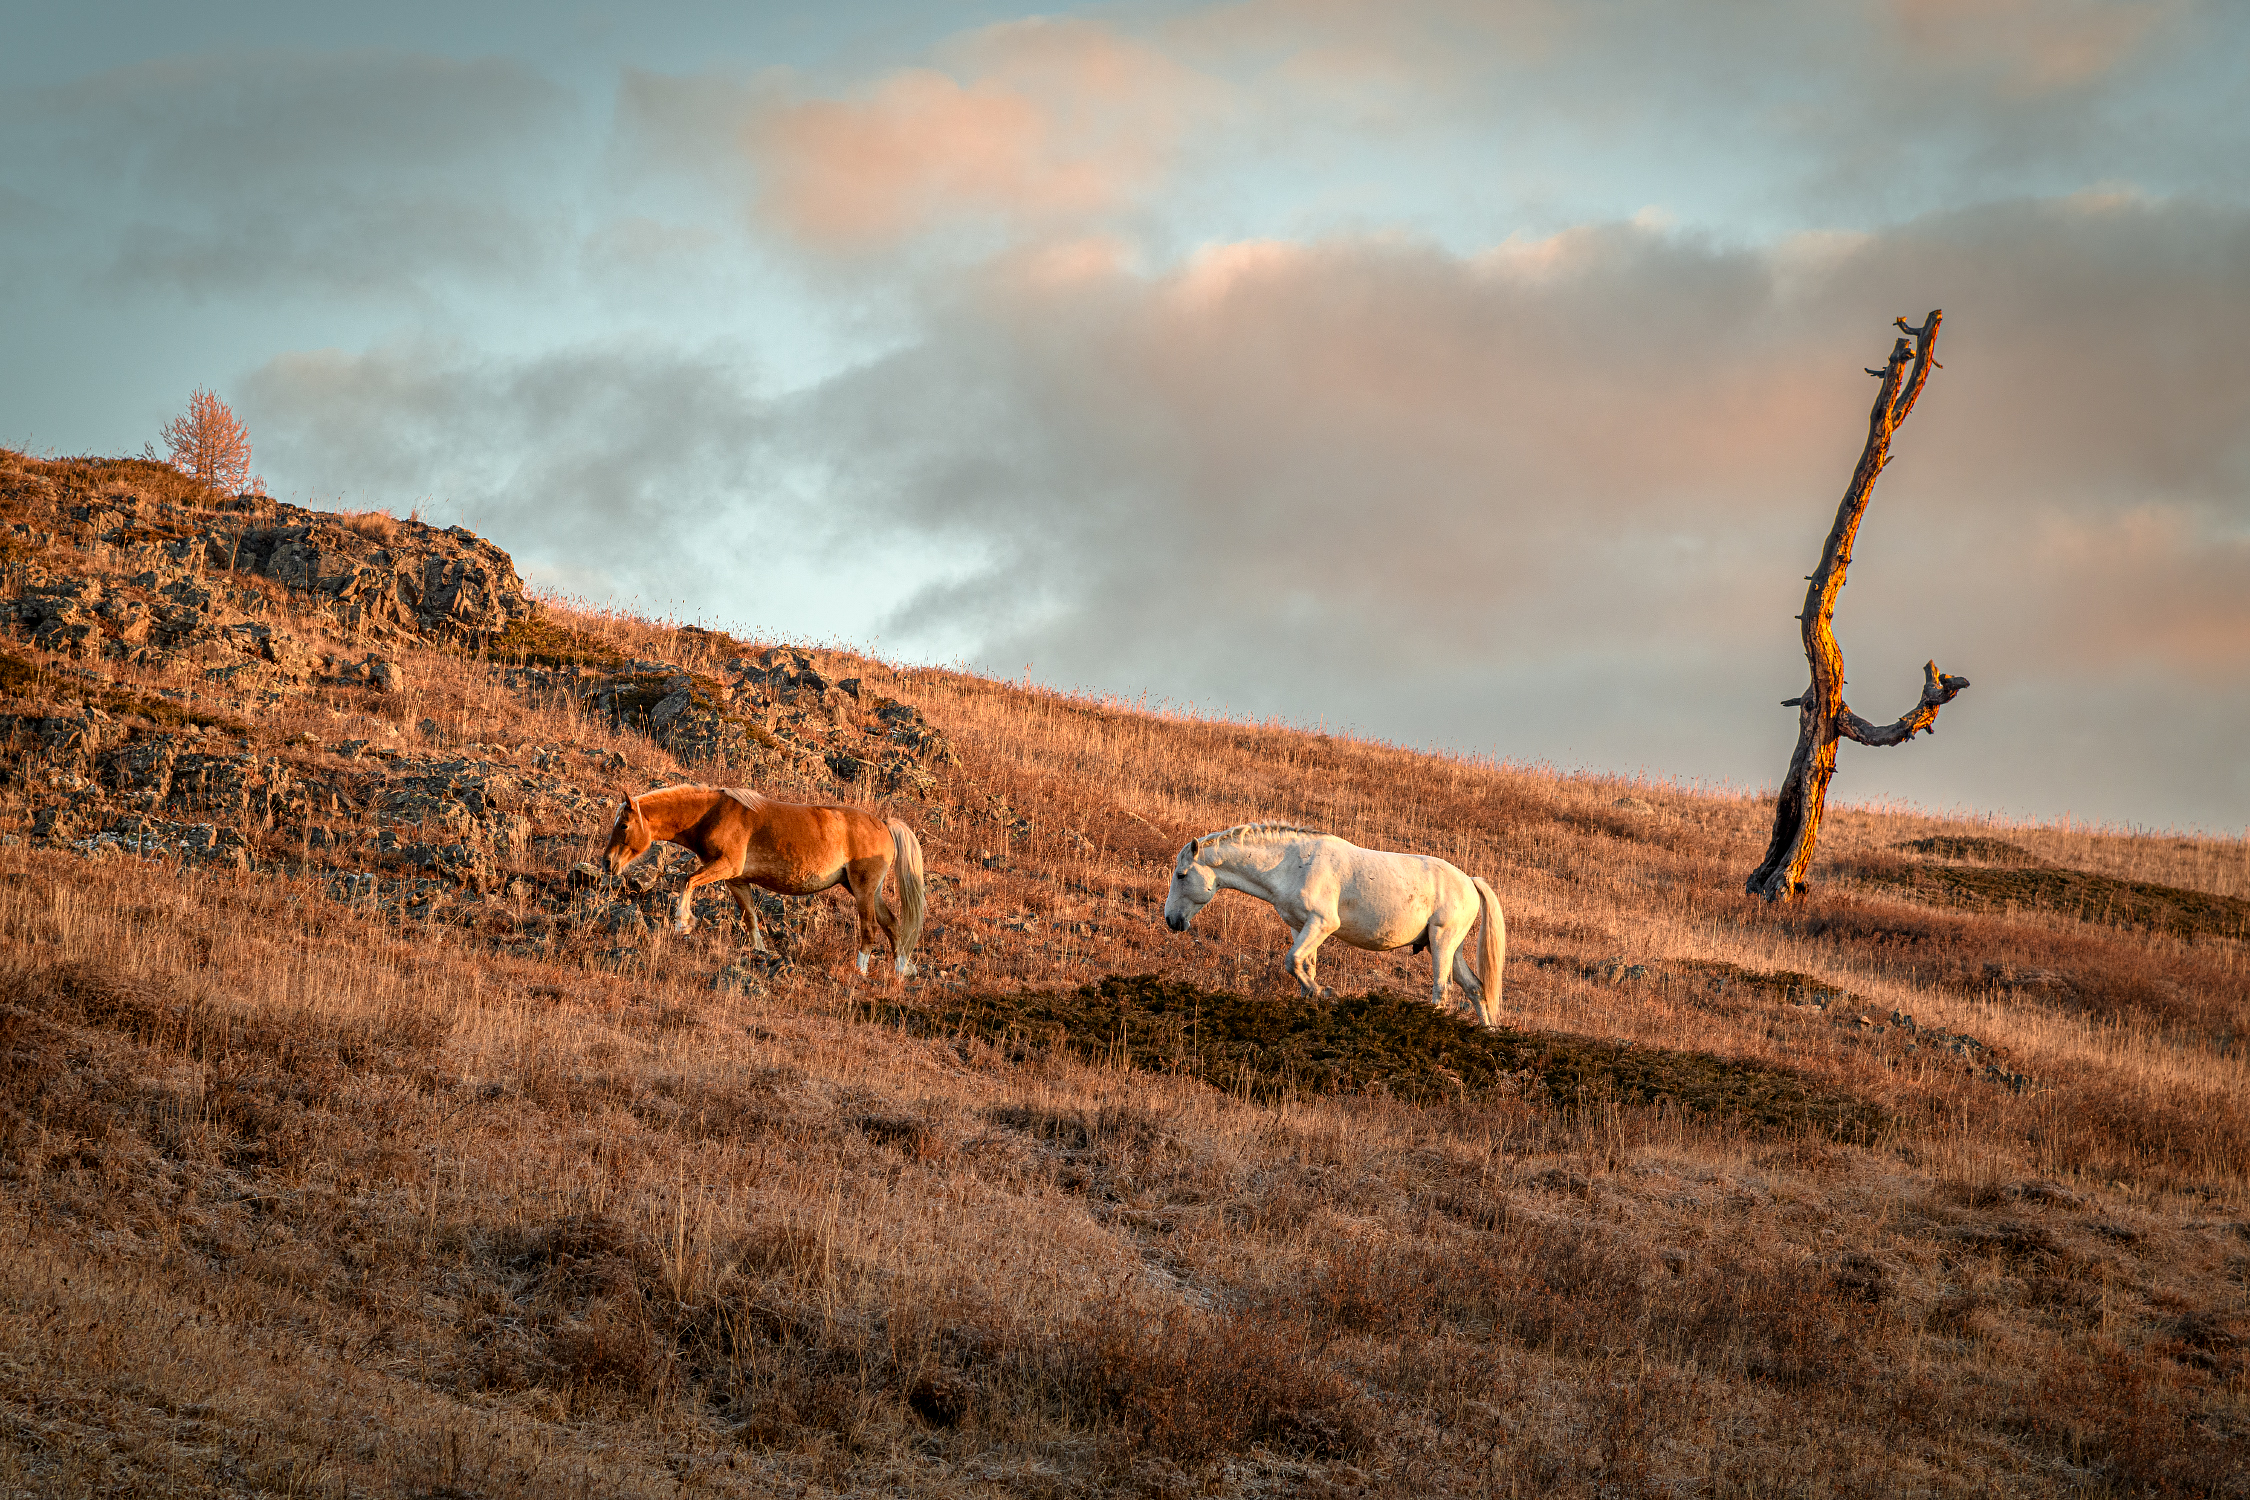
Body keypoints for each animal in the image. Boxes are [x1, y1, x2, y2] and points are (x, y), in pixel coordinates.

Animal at [603, 791, 927, 980]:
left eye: (624, 825)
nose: (607, 863)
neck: (713, 813)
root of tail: (884, 824)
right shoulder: (736, 880)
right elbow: (750, 918)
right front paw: (760, 951)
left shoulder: (726, 866)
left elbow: (688, 880)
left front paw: (682, 923)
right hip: (866, 890)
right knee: (892, 924)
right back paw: (902, 969)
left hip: (863, 889)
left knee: (870, 929)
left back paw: (860, 970)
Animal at [1161, 827, 1512, 1025]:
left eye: (1181, 875)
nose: (1171, 920)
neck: (1292, 864)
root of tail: (1470, 881)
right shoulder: (1300, 926)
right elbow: (1304, 966)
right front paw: (1311, 1000)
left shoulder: (1322, 923)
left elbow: (1292, 961)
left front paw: (1327, 994)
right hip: (1452, 948)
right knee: (1475, 988)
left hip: (1441, 943)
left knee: (1442, 989)